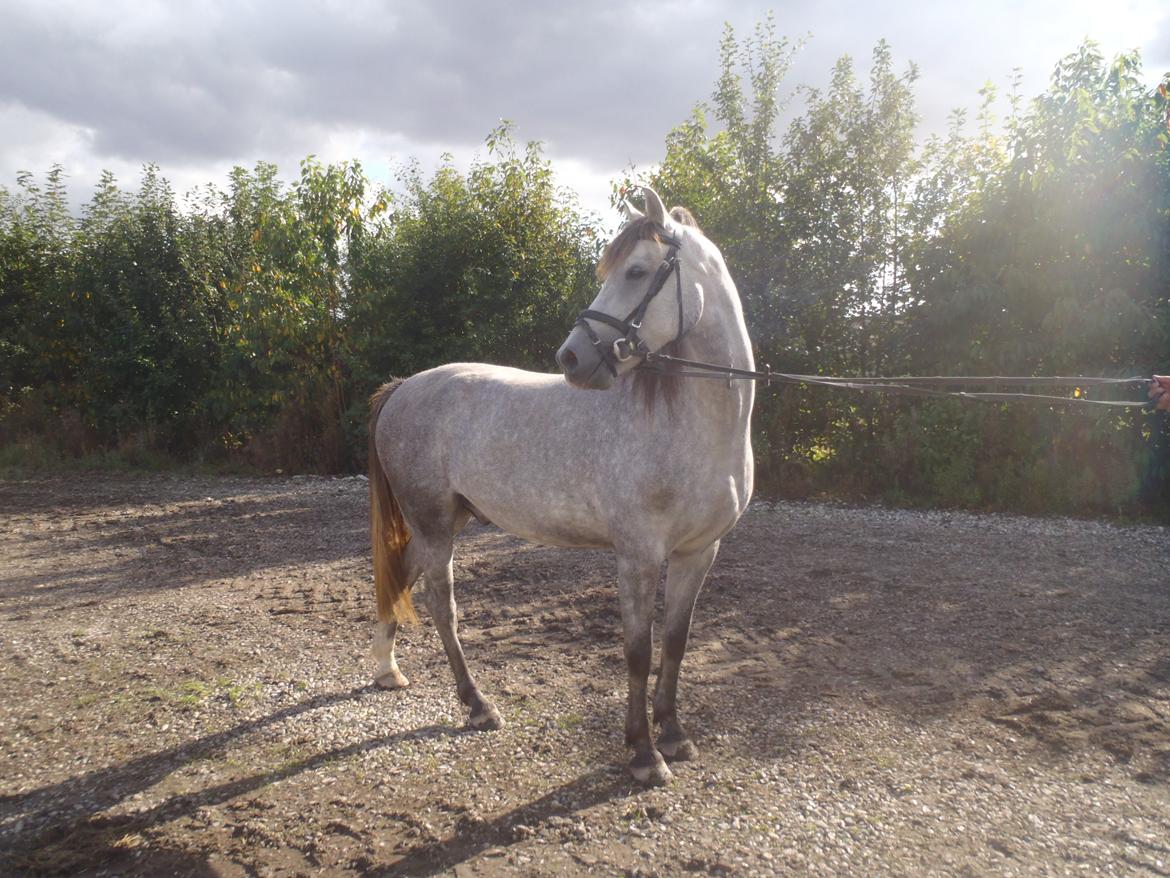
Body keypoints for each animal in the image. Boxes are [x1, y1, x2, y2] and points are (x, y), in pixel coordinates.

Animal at [367, 187, 755, 785]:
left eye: (638, 271)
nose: (571, 357)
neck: (697, 425)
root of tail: (404, 387)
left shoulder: (699, 552)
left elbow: (675, 641)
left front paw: (674, 734)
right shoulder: (638, 555)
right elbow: (638, 650)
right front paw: (643, 754)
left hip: (447, 518)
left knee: (402, 578)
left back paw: (388, 670)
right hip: (433, 523)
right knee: (441, 607)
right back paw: (477, 706)